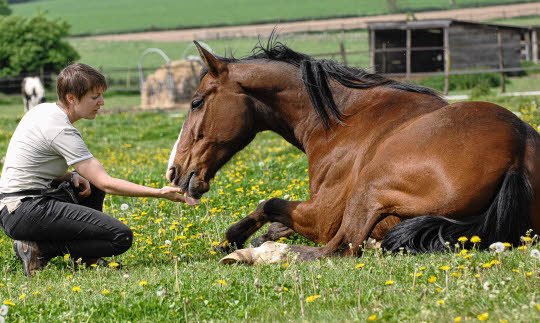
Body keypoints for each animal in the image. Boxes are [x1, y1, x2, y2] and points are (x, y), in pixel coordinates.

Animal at [167, 38, 536, 262]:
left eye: (196, 102)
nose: (174, 171)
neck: (340, 120)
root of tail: (516, 153)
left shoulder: (322, 215)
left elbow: (268, 205)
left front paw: (233, 243)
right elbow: (272, 218)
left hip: (367, 193)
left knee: (336, 249)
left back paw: (265, 254)